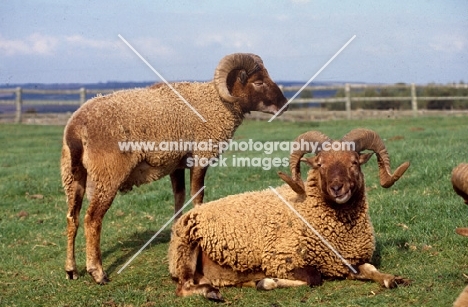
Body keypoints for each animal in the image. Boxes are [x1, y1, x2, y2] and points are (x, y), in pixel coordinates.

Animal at [61, 52, 288, 284]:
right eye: (258, 82)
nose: (285, 105)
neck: (215, 102)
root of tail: (75, 128)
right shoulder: (200, 157)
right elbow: (197, 196)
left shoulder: (176, 165)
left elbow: (179, 200)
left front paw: (178, 234)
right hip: (107, 175)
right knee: (92, 219)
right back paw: (97, 272)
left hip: (73, 176)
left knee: (72, 218)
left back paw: (71, 270)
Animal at [168, 129, 410, 302]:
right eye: (320, 164)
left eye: (354, 162)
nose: (337, 188)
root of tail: (191, 212)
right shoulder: (280, 258)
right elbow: (314, 278)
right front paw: (269, 282)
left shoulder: (349, 260)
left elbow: (371, 269)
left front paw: (393, 279)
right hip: (185, 251)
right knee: (183, 288)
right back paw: (212, 292)